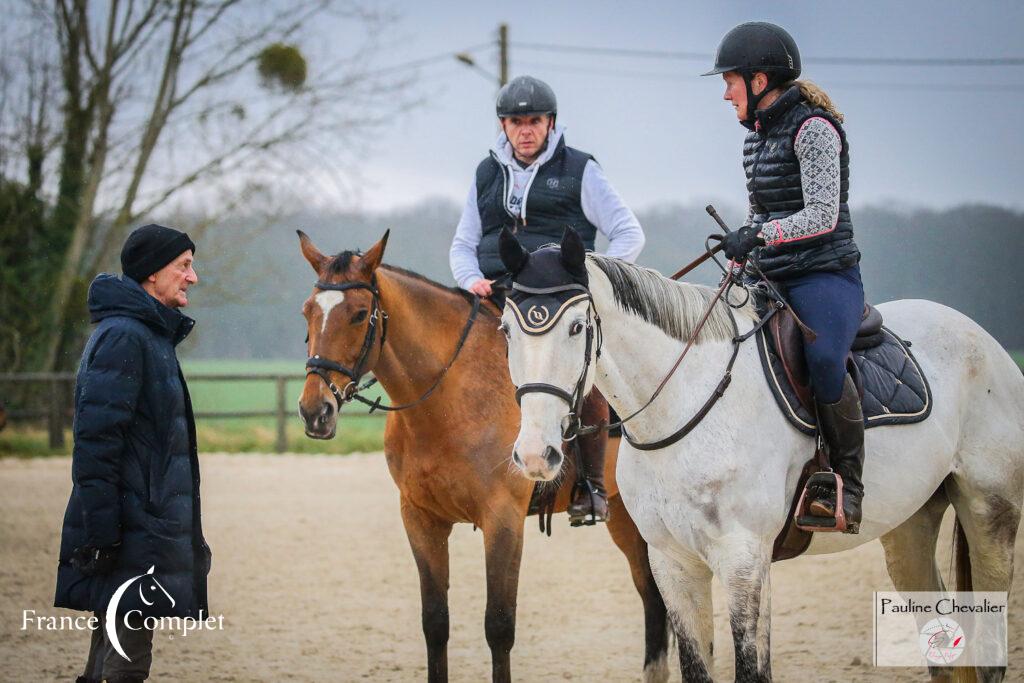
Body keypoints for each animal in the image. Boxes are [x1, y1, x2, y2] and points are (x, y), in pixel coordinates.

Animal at [294, 231, 671, 683]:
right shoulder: (420, 519)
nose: (314, 411)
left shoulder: (502, 519)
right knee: (653, 598)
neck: (449, 397)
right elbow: (435, 622)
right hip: (628, 520)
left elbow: (499, 625)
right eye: (307, 311)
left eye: (359, 314)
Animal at [499, 227, 1024, 679]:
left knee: (990, 648)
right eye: (506, 329)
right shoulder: (674, 565)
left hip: (990, 511)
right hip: (909, 524)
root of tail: (985, 341)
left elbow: (753, 669)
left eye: (576, 327)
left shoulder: (743, 559)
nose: (535, 454)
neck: (686, 405)